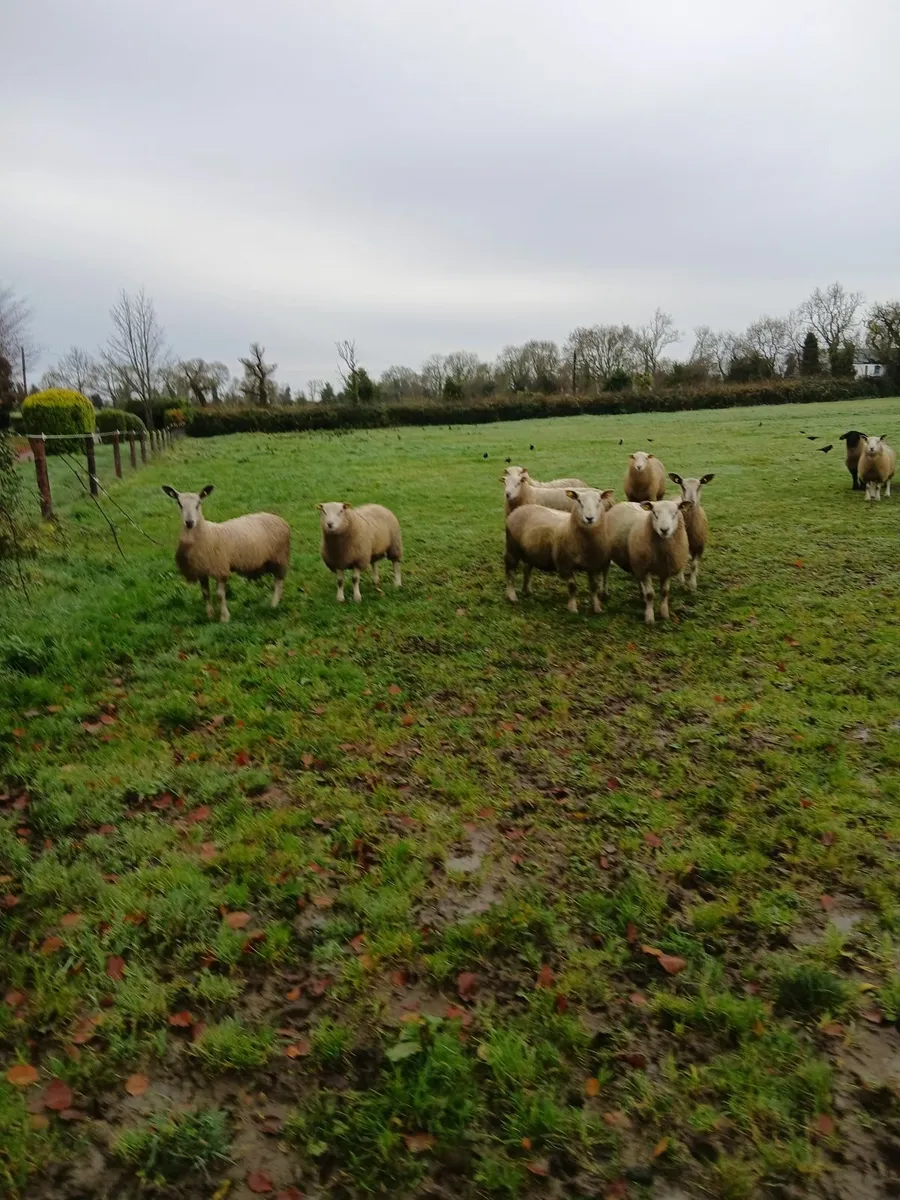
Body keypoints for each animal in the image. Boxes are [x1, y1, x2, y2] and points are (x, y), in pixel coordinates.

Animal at [162, 485, 290, 623]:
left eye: (198, 503)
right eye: (179, 504)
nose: (189, 522)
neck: (205, 533)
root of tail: (278, 517)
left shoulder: (220, 568)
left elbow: (219, 594)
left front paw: (224, 617)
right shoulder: (201, 570)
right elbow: (205, 593)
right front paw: (210, 615)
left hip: (280, 557)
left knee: (279, 581)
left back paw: (274, 604)